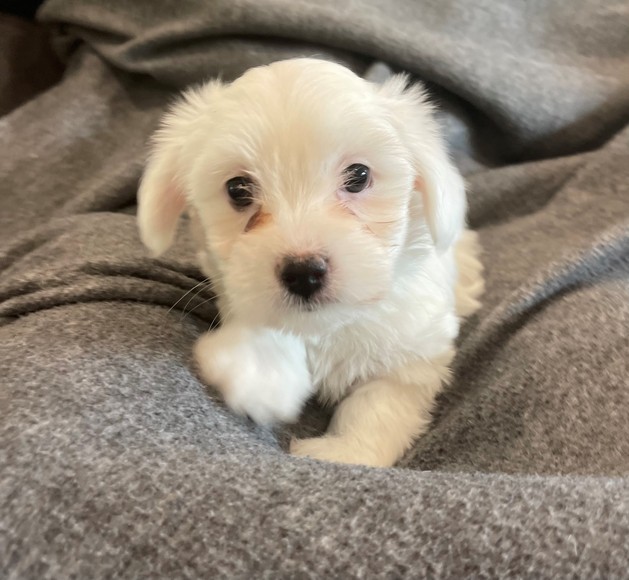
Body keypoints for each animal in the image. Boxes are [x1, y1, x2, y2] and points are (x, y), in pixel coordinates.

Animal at [137, 57, 480, 466]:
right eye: (237, 189)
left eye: (359, 175)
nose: (303, 273)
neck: (329, 326)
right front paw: (257, 371)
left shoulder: (410, 355)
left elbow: (378, 405)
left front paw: (345, 449)